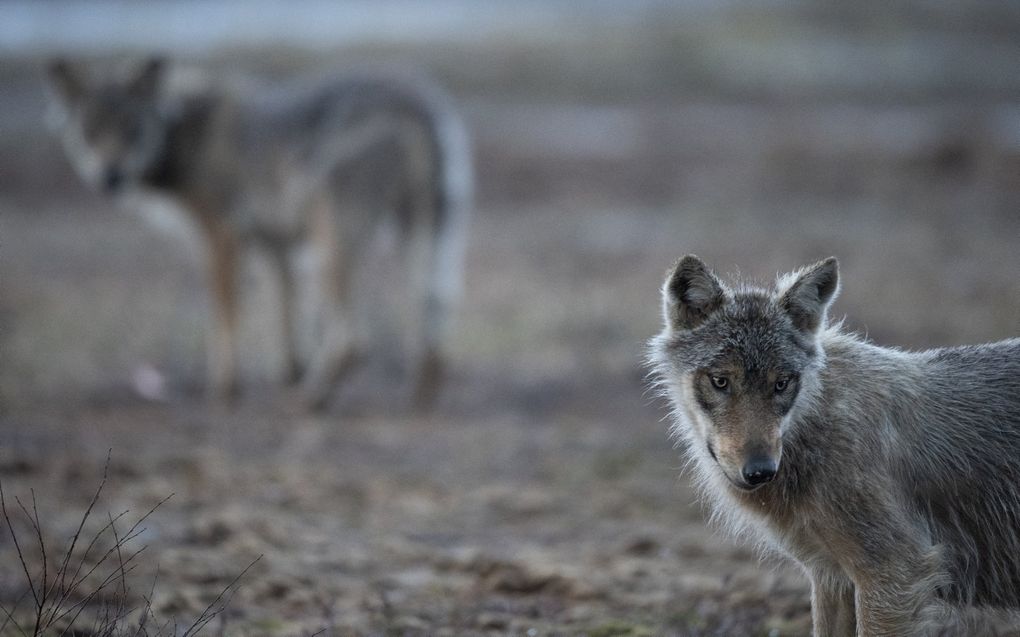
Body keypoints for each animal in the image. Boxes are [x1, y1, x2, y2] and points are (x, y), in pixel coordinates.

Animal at [45, 58, 471, 407]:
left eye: (131, 130)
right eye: (90, 133)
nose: (110, 177)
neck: (183, 132)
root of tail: (422, 102)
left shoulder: (222, 237)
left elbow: (225, 315)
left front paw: (224, 389)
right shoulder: (273, 246)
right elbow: (281, 314)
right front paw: (288, 373)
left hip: (333, 245)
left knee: (354, 339)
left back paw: (311, 398)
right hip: (419, 240)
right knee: (432, 317)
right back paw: (417, 394)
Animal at [648, 254, 1015, 635]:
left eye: (782, 383)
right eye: (720, 381)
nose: (760, 471)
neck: (813, 430)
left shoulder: (896, 573)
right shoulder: (830, 575)